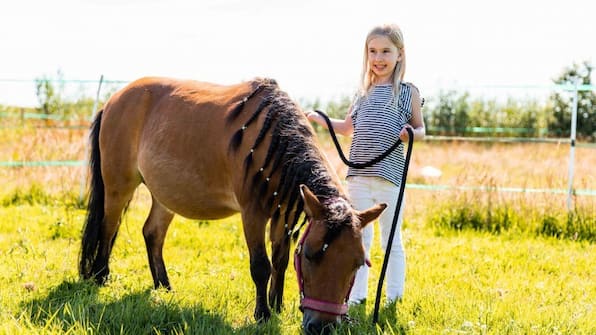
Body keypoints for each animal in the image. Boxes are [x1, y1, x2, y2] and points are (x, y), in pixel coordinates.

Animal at [79, 77, 386, 334]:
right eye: (310, 255)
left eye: (358, 264)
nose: (323, 327)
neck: (275, 142)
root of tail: (113, 100)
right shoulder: (253, 214)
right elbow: (261, 266)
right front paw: (262, 314)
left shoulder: (283, 216)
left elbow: (280, 262)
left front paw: (276, 307)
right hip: (118, 186)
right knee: (108, 228)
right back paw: (101, 277)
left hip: (164, 195)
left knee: (152, 233)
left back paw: (163, 287)